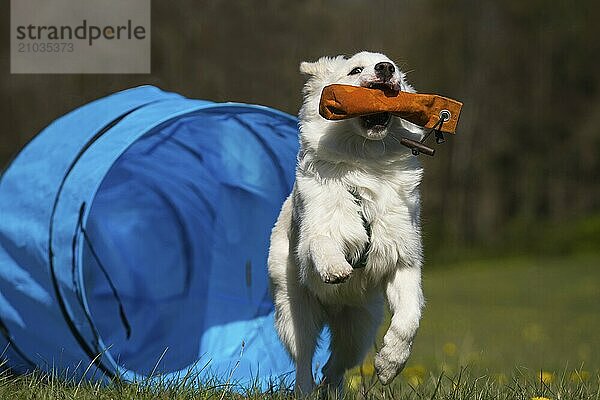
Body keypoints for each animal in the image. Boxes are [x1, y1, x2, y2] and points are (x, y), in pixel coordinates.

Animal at [268, 51, 426, 392]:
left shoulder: (403, 260)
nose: (386, 69)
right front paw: (336, 268)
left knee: (334, 365)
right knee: (304, 358)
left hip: (358, 327)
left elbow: (409, 318)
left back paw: (331, 388)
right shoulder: (317, 228)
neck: (366, 162)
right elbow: (322, 243)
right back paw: (305, 390)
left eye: (393, 67)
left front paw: (390, 364)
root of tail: (334, 309)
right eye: (356, 70)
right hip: (295, 311)